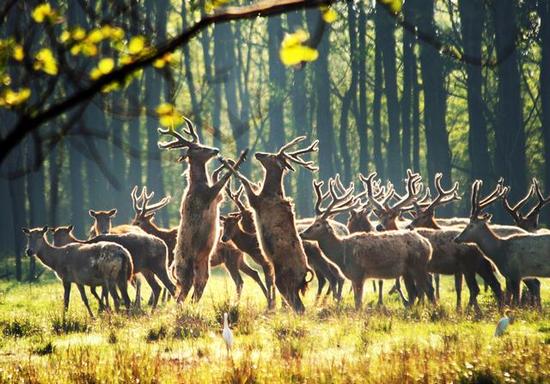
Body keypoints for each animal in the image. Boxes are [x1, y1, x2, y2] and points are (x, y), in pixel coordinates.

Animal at [157, 117, 248, 304]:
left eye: (201, 143)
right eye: (198, 148)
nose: (215, 150)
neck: (199, 184)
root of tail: (172, 267)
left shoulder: (218, 198)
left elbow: (217, 178)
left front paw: (227, 162)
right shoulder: (207, 196)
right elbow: (222, 180)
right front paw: (240, 157)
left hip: (203, 268)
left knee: (197, 289)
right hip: (185, 271)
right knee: (181, 295)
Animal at [220, 136, 320, 314]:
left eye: (271, 156)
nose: (258, 153)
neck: (269, 191)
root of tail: (306, 272)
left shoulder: (256, 202)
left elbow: (244, 180)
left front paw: (225, 161)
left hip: (284, 279)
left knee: (298, 306)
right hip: (291, 284)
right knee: (298, 305)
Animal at [300, 178, 434, 308]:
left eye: (318, 224)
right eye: (313, 222)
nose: (302, 233)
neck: (341, 254)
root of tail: (428, 245)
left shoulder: (358, 273)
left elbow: (358, 303)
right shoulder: (353, 277)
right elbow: (356, 301)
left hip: (418, 266)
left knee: (426, 289)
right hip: (408, 271)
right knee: (414, 292)